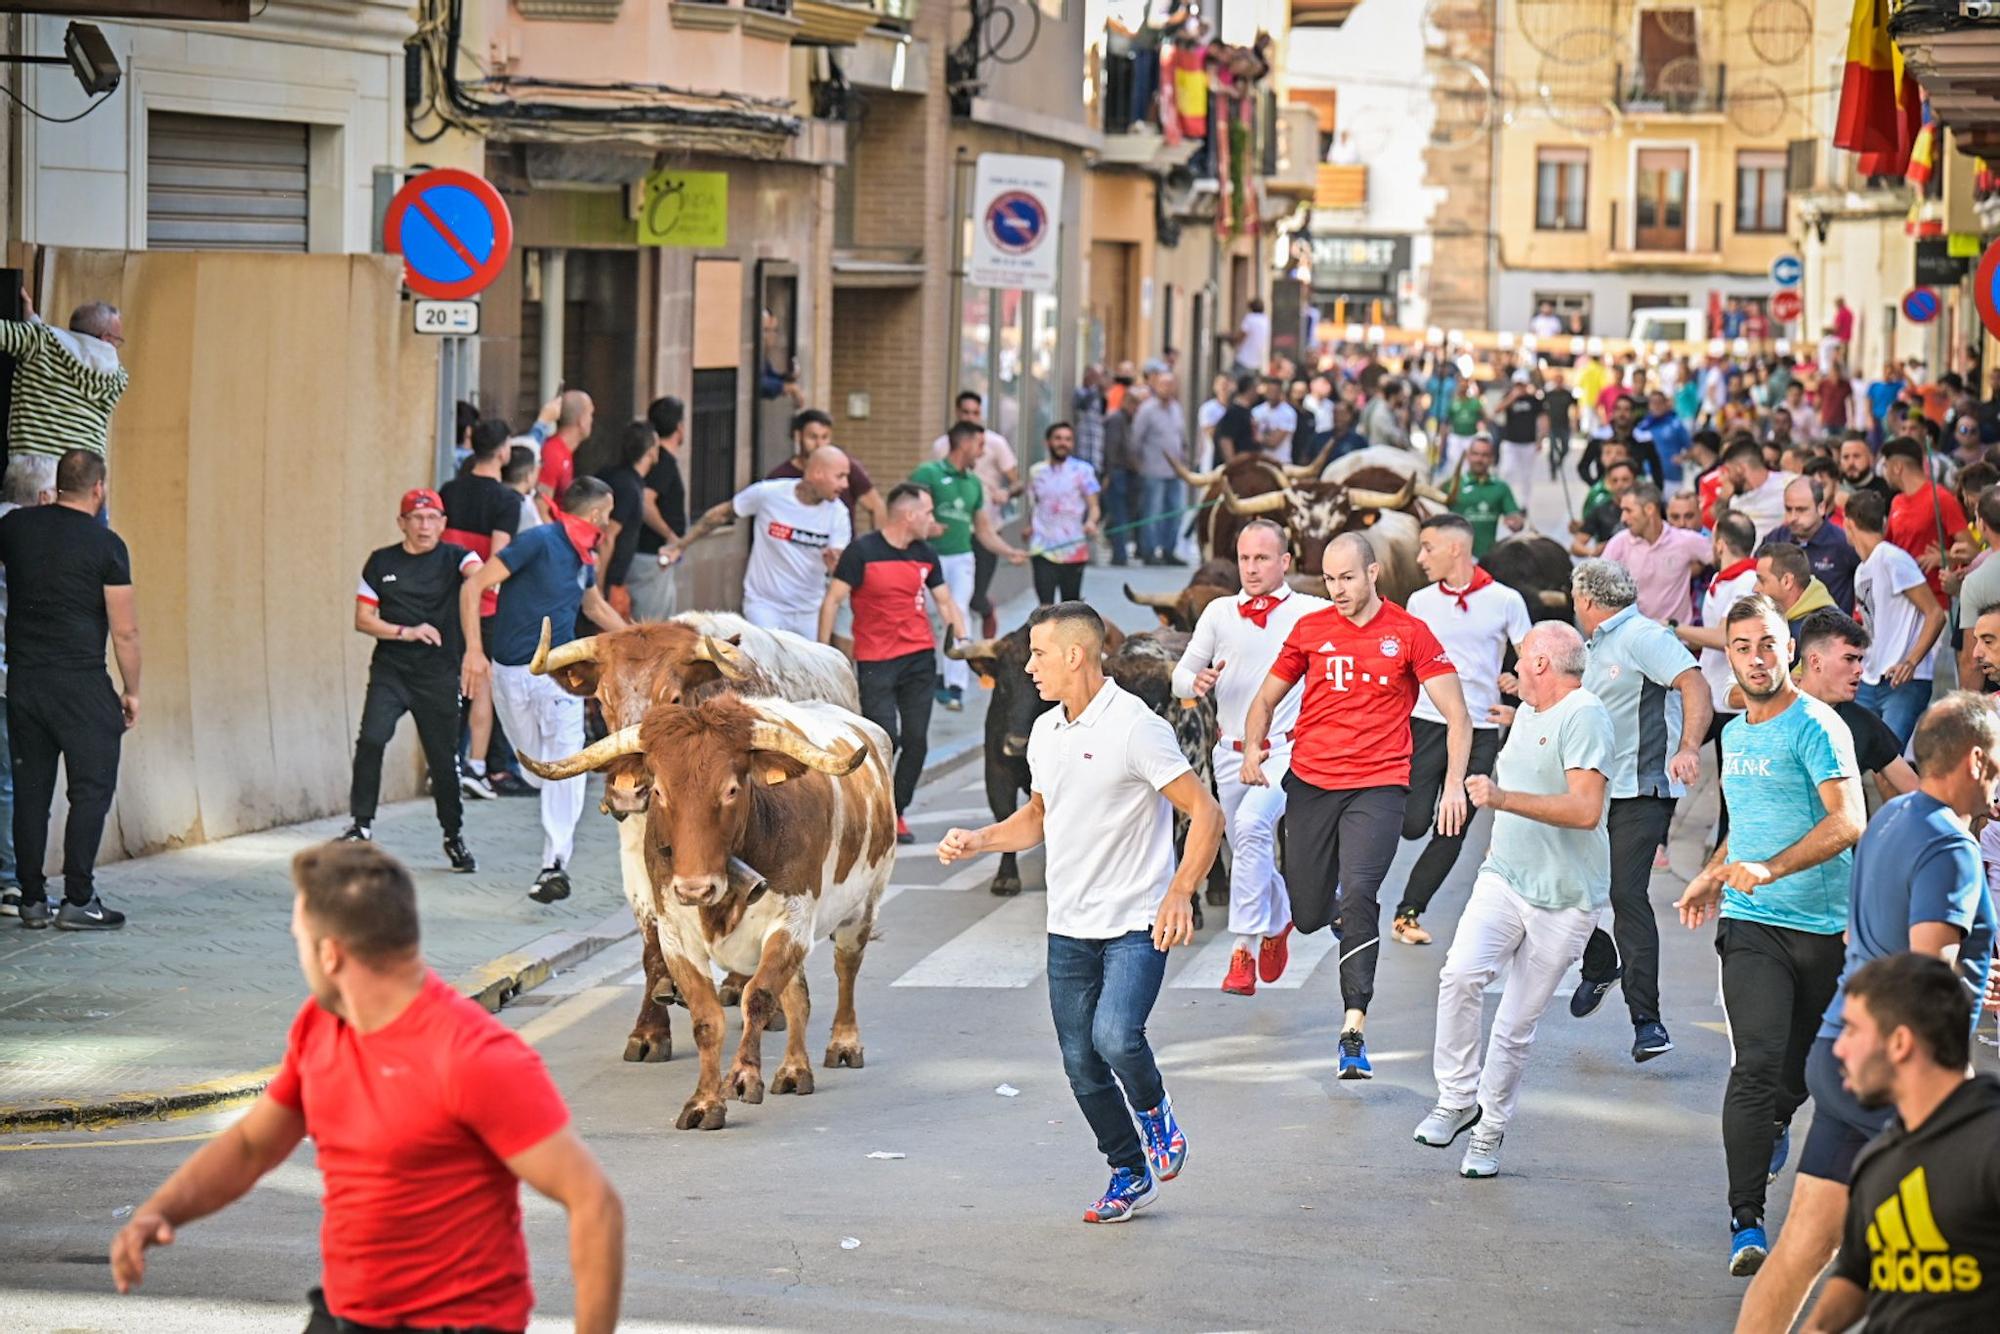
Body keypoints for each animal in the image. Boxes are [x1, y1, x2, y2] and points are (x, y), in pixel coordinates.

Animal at [524, 696, 892, 1136]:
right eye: (659, 790)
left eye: (731, 789)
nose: (694, 889)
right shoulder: (675, 938)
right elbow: (707, 1019)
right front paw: (704, 1101)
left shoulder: (792, 923)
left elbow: (757, 997)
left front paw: (744, 1076)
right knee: (797, 997)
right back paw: (794, 1069)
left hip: (863, 906)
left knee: (845, 971)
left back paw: (843, 1044)